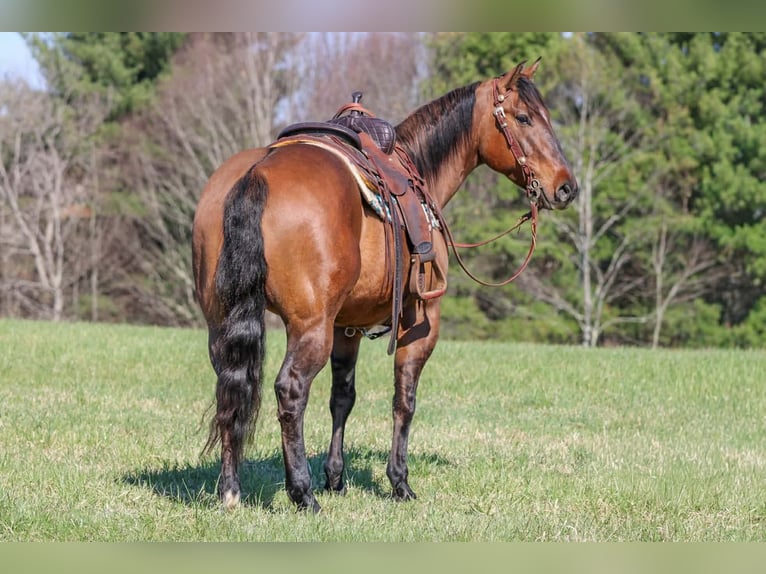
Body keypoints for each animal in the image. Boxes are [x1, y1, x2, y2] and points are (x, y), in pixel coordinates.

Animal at [192, 60, 578, 513]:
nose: (567, 187)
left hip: (224, 321)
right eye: (523, 118)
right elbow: (404, 401)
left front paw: (336, 477)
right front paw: (399, 482)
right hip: (309, 326)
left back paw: (230, 489)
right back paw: (303, 494)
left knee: (231, 388)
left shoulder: (347, 327)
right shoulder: (420, 322)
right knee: (291, 391)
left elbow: (342, 397)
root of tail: (257, 173)